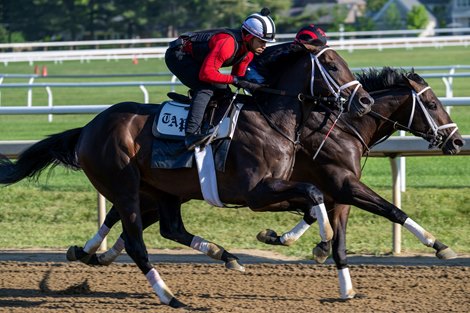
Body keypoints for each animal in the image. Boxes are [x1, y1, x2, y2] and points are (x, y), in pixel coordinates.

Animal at [0, 45, 374, 308]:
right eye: (331, 65)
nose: (366, 101)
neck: (271, 120)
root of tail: (87, 129)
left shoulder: (270, 192)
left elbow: (312, 200)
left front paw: (297, 240)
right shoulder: (256, 193)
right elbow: (313, 192)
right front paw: (323, 241)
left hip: (162, 190)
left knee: (170, 229)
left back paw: (222, 256)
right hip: (124, 185)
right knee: (137, 242)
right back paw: (171, 296)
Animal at [73, 66, 462, 300]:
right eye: (431, 103)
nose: (457, 141)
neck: (343, 126)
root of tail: (89, 129)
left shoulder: (335, 191)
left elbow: (323, 225)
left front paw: (299, 246)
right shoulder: (342, 184)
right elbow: (390, 210)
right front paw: (438, 244)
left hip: (167, 190)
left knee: (139, 223)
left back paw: (95, 252)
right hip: (150, 186)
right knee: (130, 220)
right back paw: (96, 252)